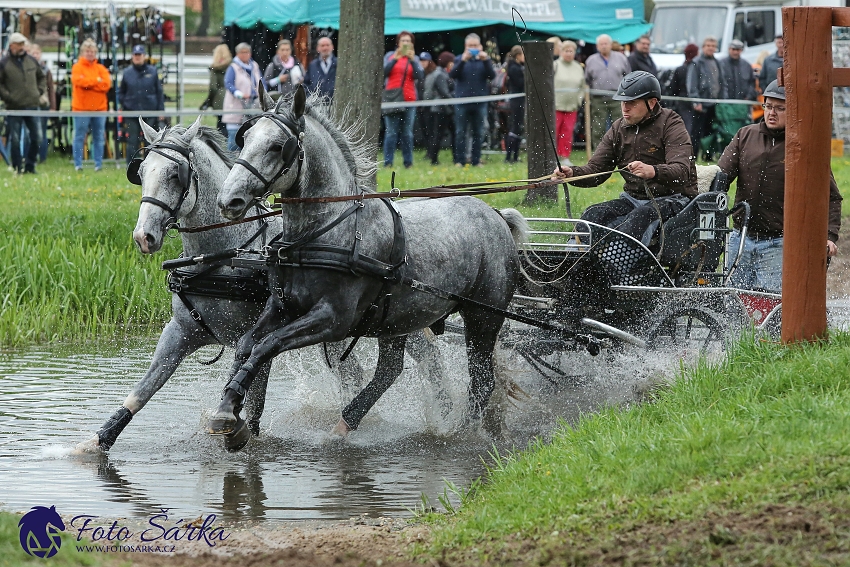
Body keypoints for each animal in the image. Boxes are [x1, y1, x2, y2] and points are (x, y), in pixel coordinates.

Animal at [210, 86, 528, 442]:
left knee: (482, 380)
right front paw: (228, 407)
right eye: (246, 138)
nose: (229, 200)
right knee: (390, 370)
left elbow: (268, 345)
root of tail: (497, 216)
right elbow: (247, 345)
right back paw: (347, 422)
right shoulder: (283, 307)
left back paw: (462, 432)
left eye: (278, 146)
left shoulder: (333, 320)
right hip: (399, 317)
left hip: (483, 318)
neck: (329, 231)